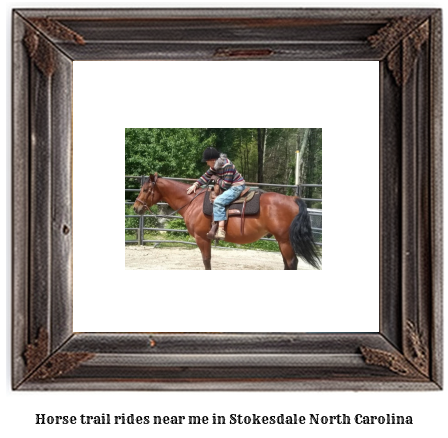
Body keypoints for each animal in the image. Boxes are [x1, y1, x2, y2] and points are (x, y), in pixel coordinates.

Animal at [133, 174, 322, 270]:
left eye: (145, 189)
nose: (136, 208)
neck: (192, 202)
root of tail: (293, 198)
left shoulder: (202, 239)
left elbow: (207, 262)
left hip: (285, 241)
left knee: (291, 263)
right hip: (282, 240)